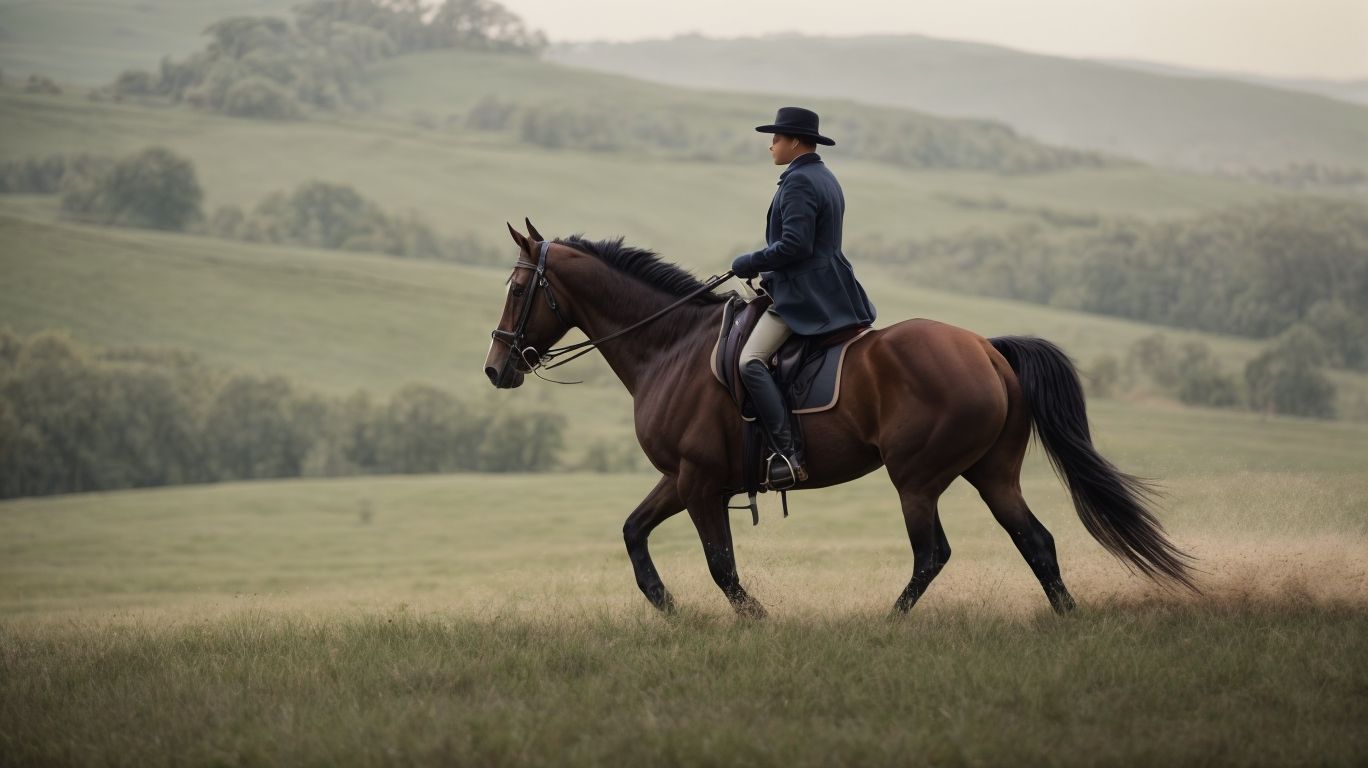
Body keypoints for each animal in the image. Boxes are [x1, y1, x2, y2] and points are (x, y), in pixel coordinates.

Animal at [484, 222, 1196, 617]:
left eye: (518, 289)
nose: (496, 369)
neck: (669, 346)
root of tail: (988, 350)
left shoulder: (698, 480)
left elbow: (721, 566)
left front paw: (757, 621)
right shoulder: (682, 478)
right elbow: (635, 533)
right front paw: (670, 611)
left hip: (917, 477)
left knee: (932, 553)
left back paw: (888, 624)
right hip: (991, 473)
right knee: (1036, 541)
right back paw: (1066, 618)